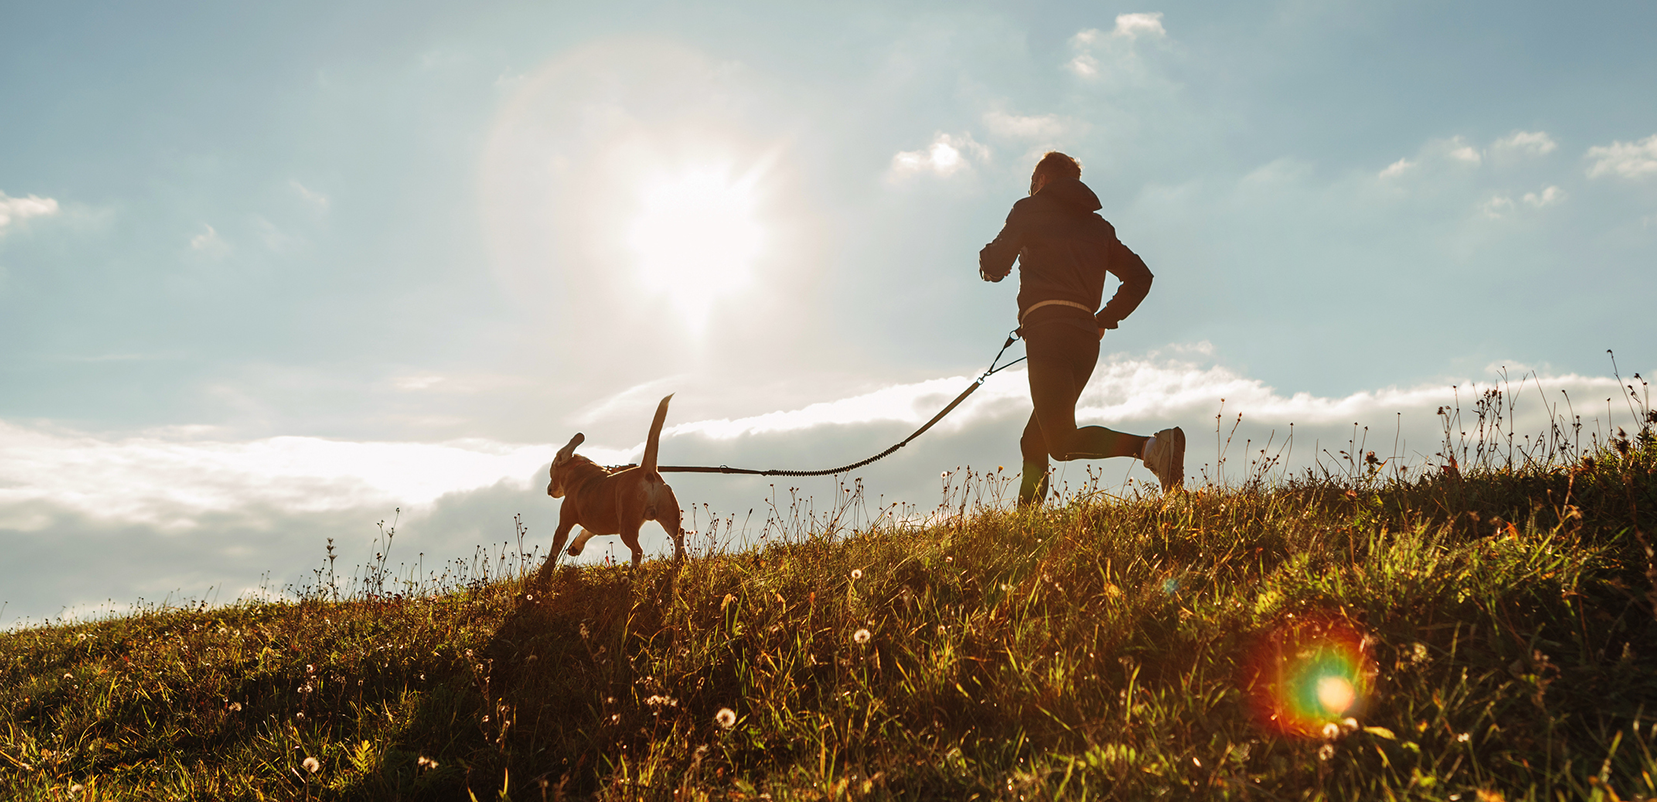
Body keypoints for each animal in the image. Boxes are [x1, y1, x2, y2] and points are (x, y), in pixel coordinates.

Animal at [546, 391, 682, 566]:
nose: (548, 489)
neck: (578, 470)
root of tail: (647, 470)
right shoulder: (593, 523)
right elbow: (585, 532)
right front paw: (576, 547)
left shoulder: (564, 523)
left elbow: (554, 550)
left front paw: (545, 570)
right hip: (670, 516)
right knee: (679, 536)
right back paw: (680, 561)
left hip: (628, 524)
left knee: (638, 551)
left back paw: (632, 572)